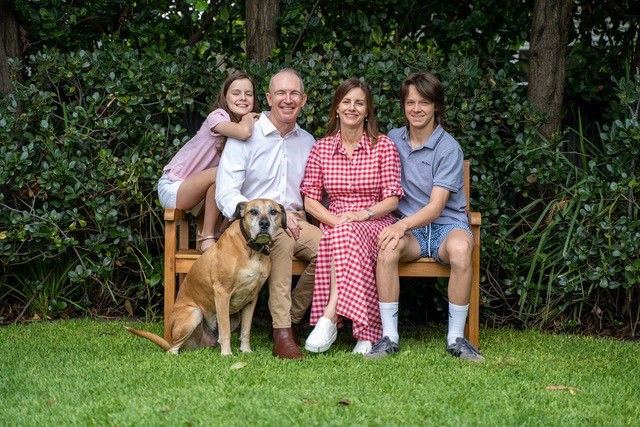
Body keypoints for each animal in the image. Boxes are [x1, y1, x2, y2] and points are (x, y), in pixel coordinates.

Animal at [126, 198, 286, 355]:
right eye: (253, 211)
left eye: (273, 211)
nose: (264, 223)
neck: (253, 251)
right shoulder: (223, 293)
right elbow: (225, 330)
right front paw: (227, 354)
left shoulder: (252, 297)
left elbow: (246, 329)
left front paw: (246, 350)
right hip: (194, 314)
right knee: (173, 349)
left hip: (235, 318)